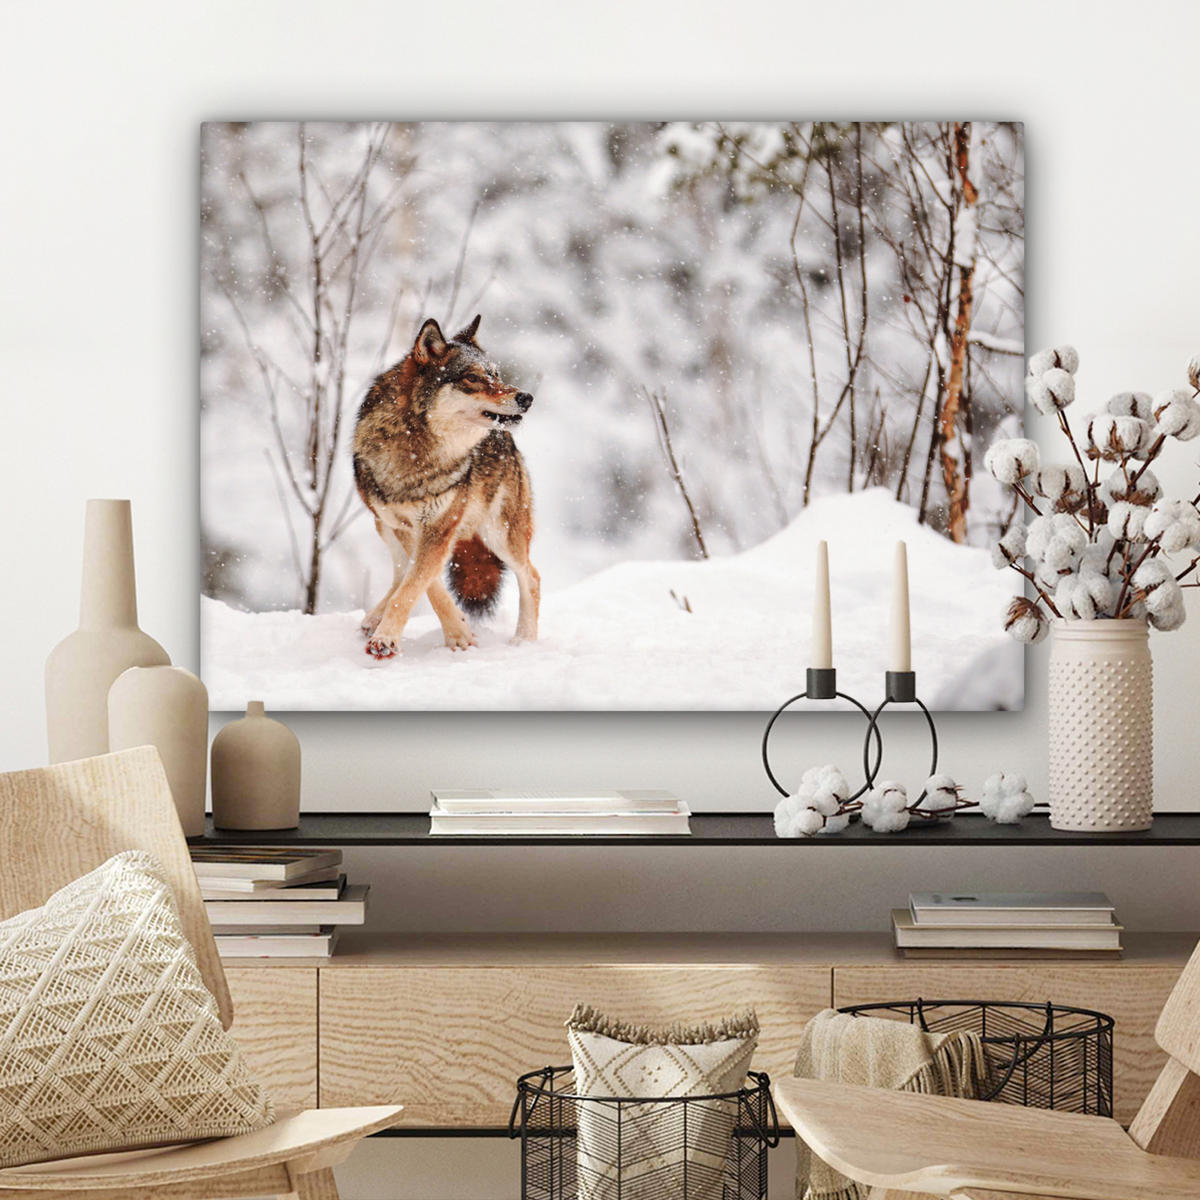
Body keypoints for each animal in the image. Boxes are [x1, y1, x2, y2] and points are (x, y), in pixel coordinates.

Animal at [351, 315, 539, 660]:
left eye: (496, 374)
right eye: (473, 378)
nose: (526, 397)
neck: (418, 450)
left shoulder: (439, 527)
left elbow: (416, 584)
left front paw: (388, 639)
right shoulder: (406, 526)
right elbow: (424, 584)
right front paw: (458, 632)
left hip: (500, 534)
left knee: (531, 577)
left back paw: (525, 641)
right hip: (382, 525)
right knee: (400, 572)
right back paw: (373, 618)